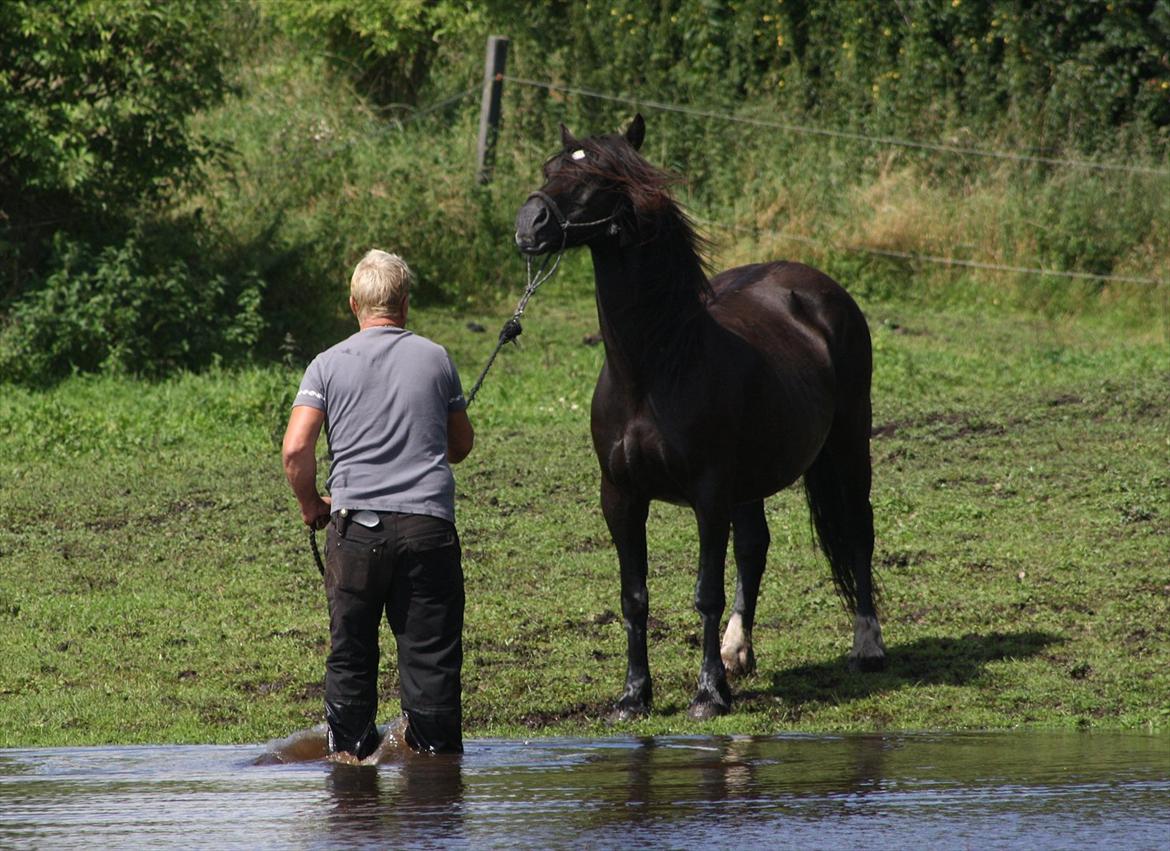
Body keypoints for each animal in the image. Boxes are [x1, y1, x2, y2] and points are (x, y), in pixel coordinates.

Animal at [514, 114, 884, 721]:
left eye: (601, 176)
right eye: (552, 168)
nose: (529, 224)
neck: (655, 369)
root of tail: (819, 287)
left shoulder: (708, 494)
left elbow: (705, 592)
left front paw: (709, 694)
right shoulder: (620, 495)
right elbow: (634, 596)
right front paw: (633, 696)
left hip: (848, 445)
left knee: (857, 531)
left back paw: (867, 647)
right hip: (751, 481)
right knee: (755, 547)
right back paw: (738, 652)